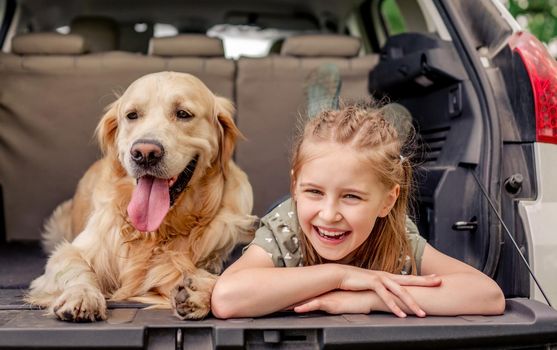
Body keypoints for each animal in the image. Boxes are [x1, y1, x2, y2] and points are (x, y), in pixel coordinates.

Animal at [24, 72, 254, 322]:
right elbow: (75, 268)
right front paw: (82, 295)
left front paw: (200, 290)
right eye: (132, 115)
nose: (145, 153)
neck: (155, 232)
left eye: (183, 114)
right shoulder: (73, 251)